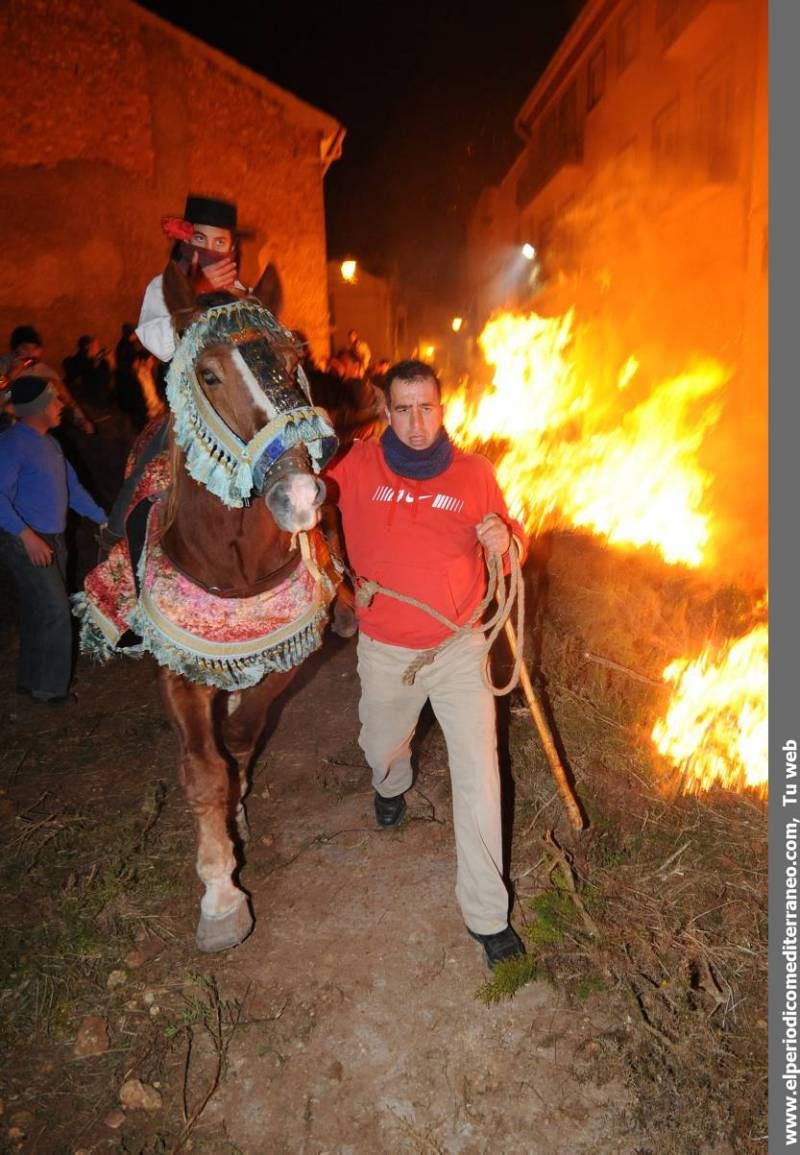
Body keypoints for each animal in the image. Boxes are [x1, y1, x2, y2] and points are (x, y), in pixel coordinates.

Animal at [79, 286, 344, 947]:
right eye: (209, 375)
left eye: (291, 360)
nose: (299, 497)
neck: (235, 560)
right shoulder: (179, 671)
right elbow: (204, 770)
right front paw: (221, 894)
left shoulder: (280, 662)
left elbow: (243, 740)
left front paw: (238, 810)